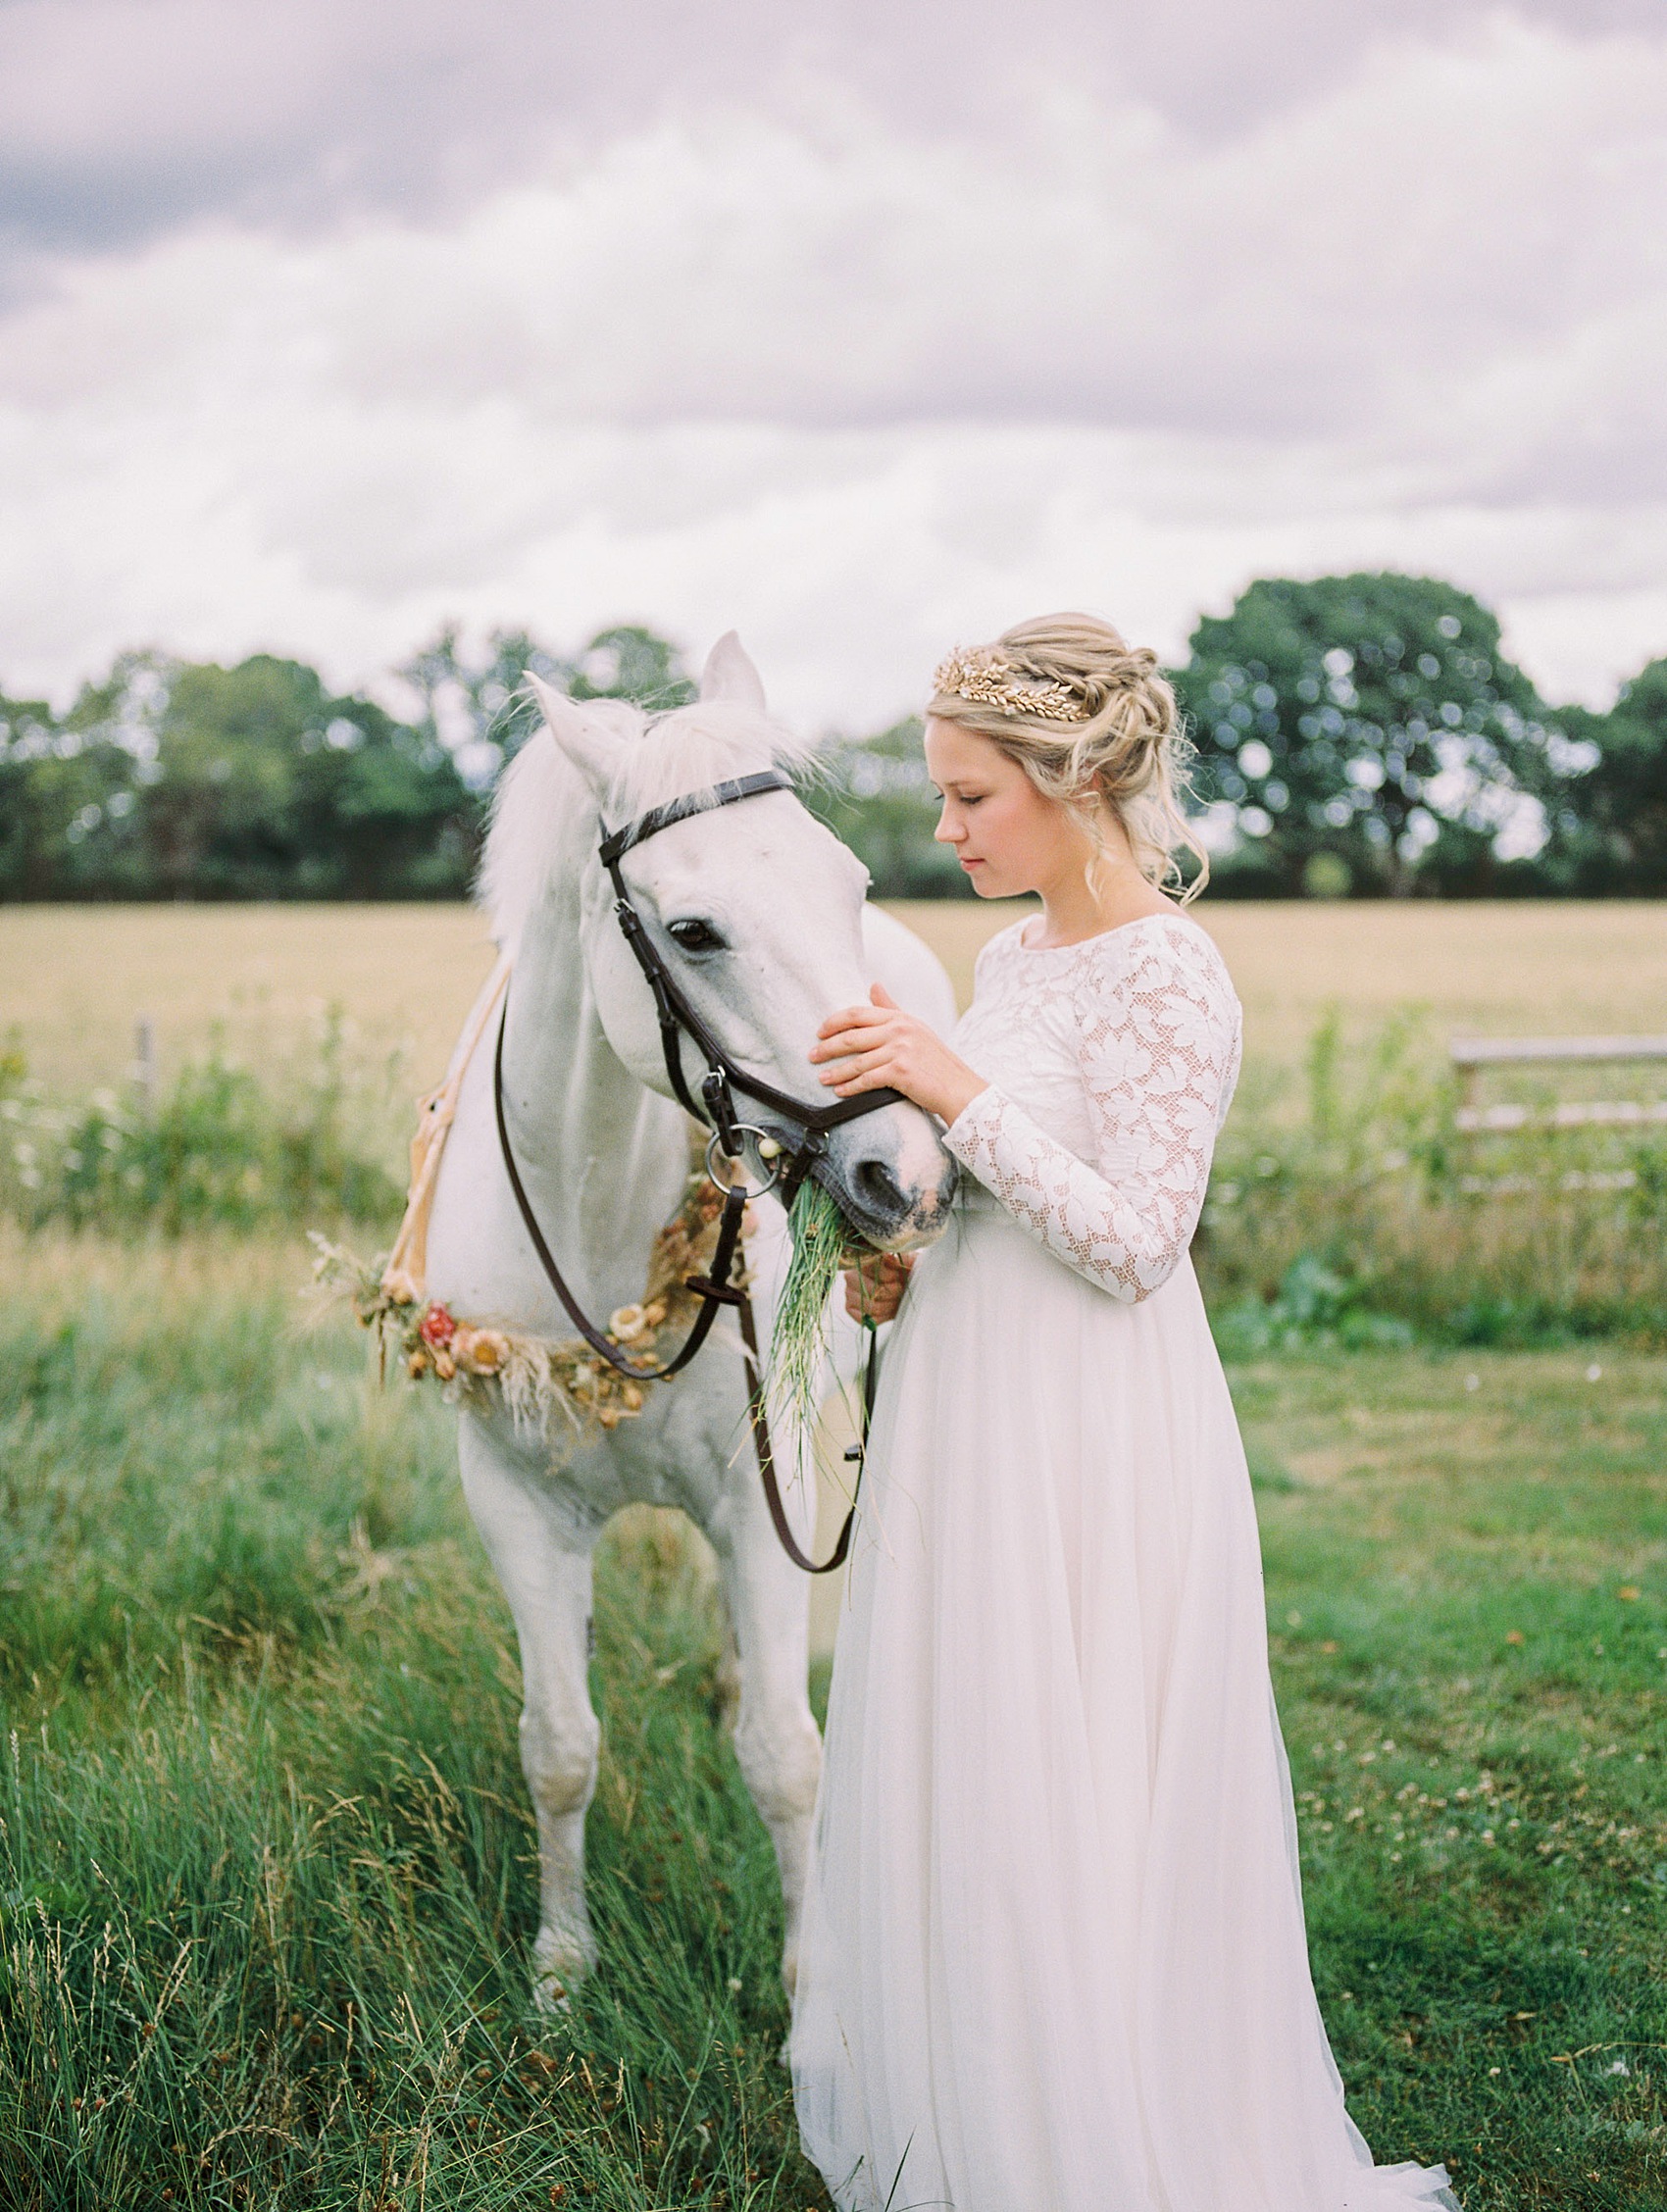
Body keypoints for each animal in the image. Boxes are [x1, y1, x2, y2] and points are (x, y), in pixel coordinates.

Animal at [422, 636, 955, 2008]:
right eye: (693, 931)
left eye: (847, 884)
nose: (905, 1174)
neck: (593, 1218)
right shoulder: (515, 1504)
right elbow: (558, 1746)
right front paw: (561, 1971)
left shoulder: (758, 1505)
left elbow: (784, 1759)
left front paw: (812, 1987)